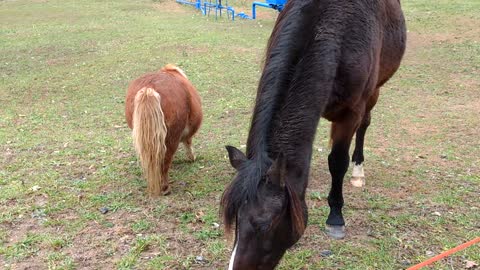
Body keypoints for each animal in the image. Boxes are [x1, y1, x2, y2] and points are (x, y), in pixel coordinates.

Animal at [124, 65, 202, 196]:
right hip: (171, 137)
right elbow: (188, 142)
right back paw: (165, 188)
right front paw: (192, 157)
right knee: (165, 160)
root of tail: (149, 89)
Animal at [220, 0, 404, 268]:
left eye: (264, 225)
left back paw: (358, 171)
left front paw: (335, 218)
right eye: (234, 219)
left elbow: (337, 162)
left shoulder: (350, 113)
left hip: (375, 90)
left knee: (365, 125)